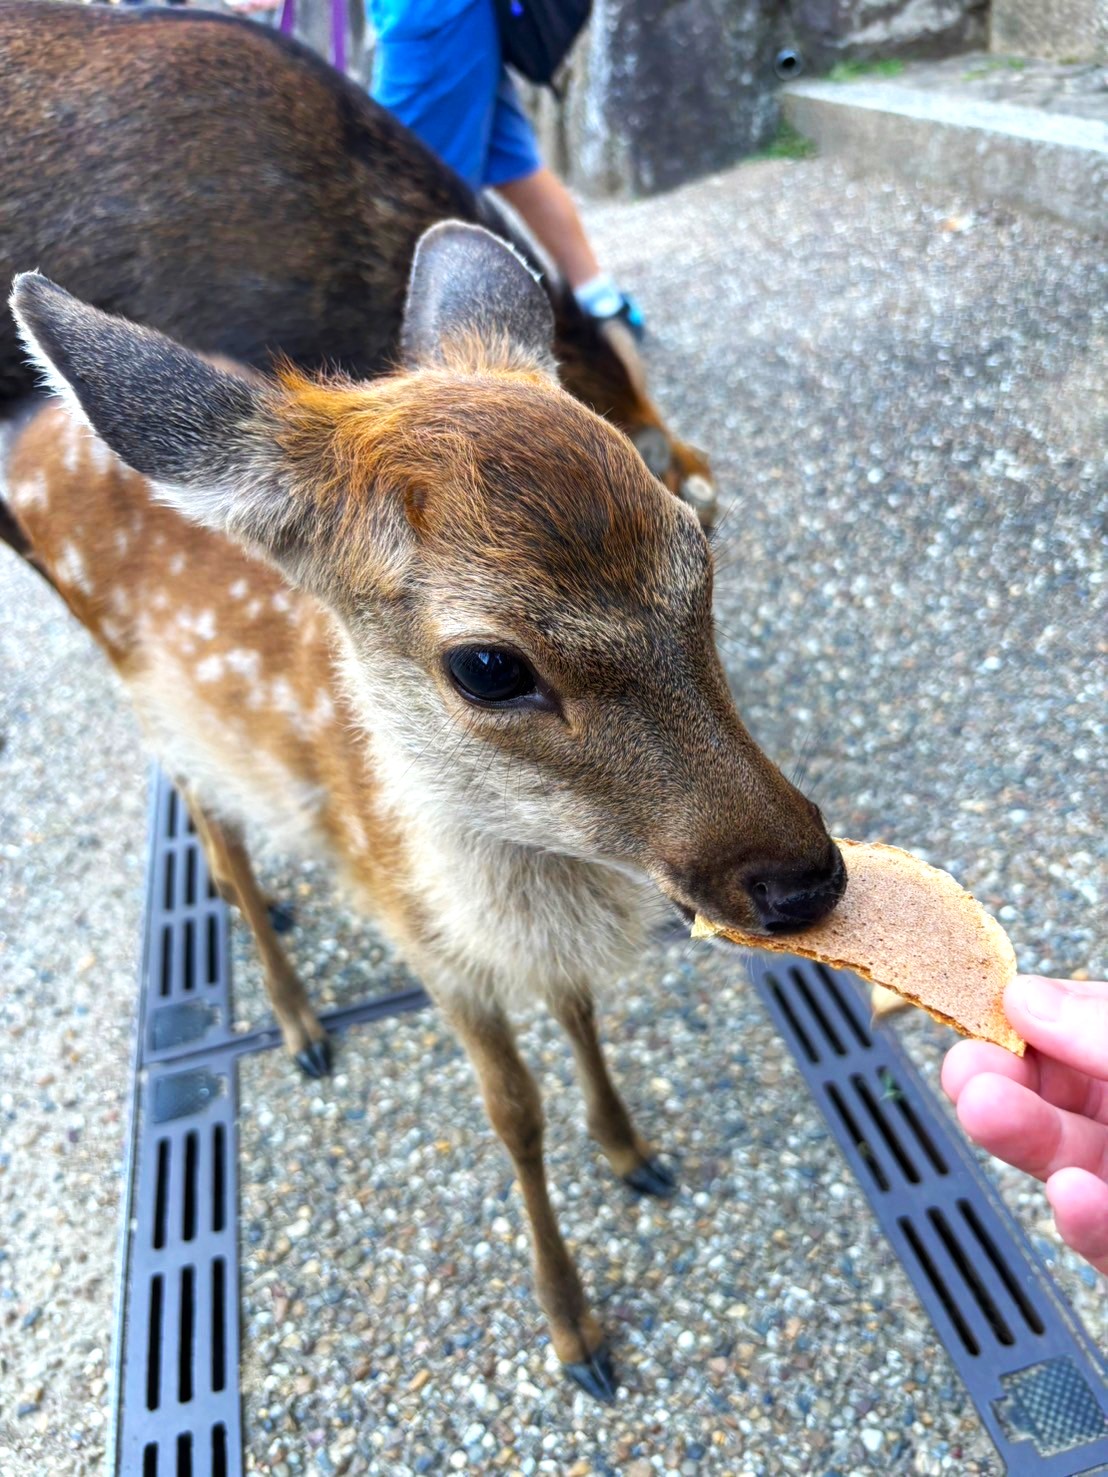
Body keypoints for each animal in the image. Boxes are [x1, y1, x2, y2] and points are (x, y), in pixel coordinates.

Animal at [4, 221, 845, 1394]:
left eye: (699, 546)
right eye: (488, 665)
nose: (805, 877)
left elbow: (580, 1012)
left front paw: (632, 1151)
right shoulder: (425, 940)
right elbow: (513, 1114)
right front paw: (576, 1332)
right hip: (150, 702)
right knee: (206, 815)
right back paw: (299, 1020)